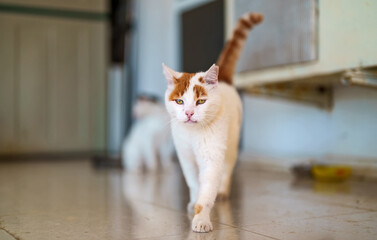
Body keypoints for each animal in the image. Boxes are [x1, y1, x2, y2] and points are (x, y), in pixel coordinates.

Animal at [162, 12, 262, 232]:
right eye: (180, 101)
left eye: (200, 101)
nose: (189, 113)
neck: (193, 135)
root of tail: (223, 78)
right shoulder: (186, 157)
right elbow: (193, 184)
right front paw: (193, 202)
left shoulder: (212, 157)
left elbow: (207, 191)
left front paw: (201, 219)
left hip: (231, 144)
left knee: (228, 168)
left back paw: (222, 192)